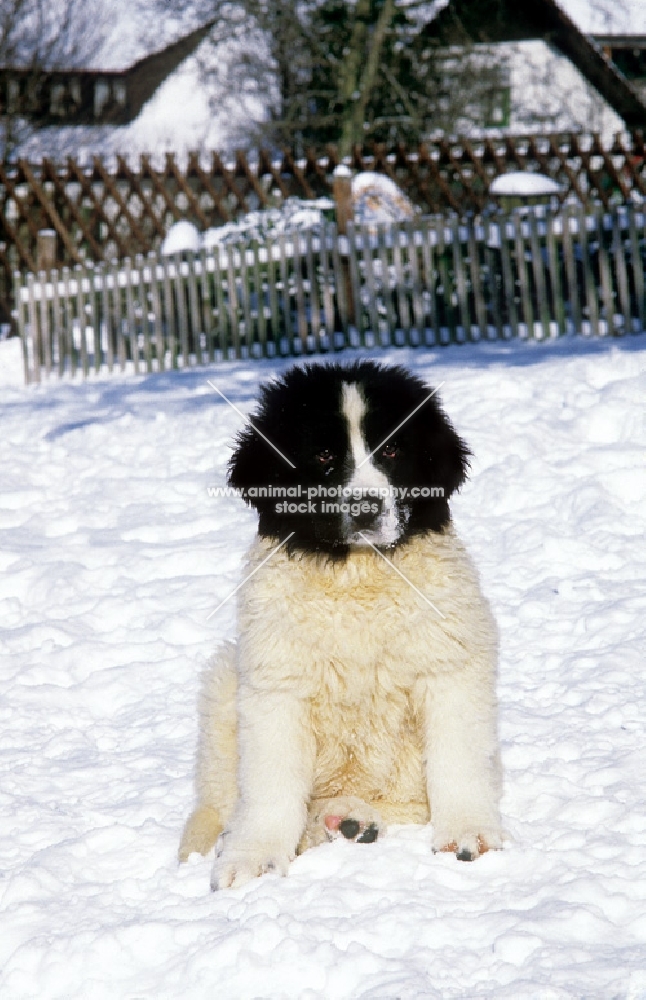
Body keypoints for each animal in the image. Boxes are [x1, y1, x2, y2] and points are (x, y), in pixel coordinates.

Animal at [180, 362, 504, 892]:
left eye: (392, 450)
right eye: (324, 455)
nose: (367, 506)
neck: (355, 575)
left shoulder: (447, 665)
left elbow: (457, 761)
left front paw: (467, 833)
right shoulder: (277, 684)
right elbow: (270, 785)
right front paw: (253, 857)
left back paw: (352, 821)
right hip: (225, 680)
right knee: (221, 801)